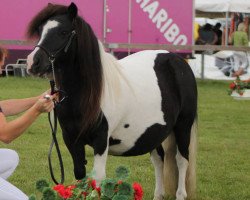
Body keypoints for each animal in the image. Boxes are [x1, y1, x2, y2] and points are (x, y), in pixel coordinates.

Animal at [25, 3, 197, 200]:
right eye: (40, 31)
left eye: (63, 32)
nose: (32, 63)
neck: (86, 95)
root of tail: (178, 61)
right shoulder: (71, 139)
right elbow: (80, 176)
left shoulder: (101, 139)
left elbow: (98, 178)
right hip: (154, 132)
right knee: (158, 159)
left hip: (183, 126)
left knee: (182, 160)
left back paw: (181, 194)